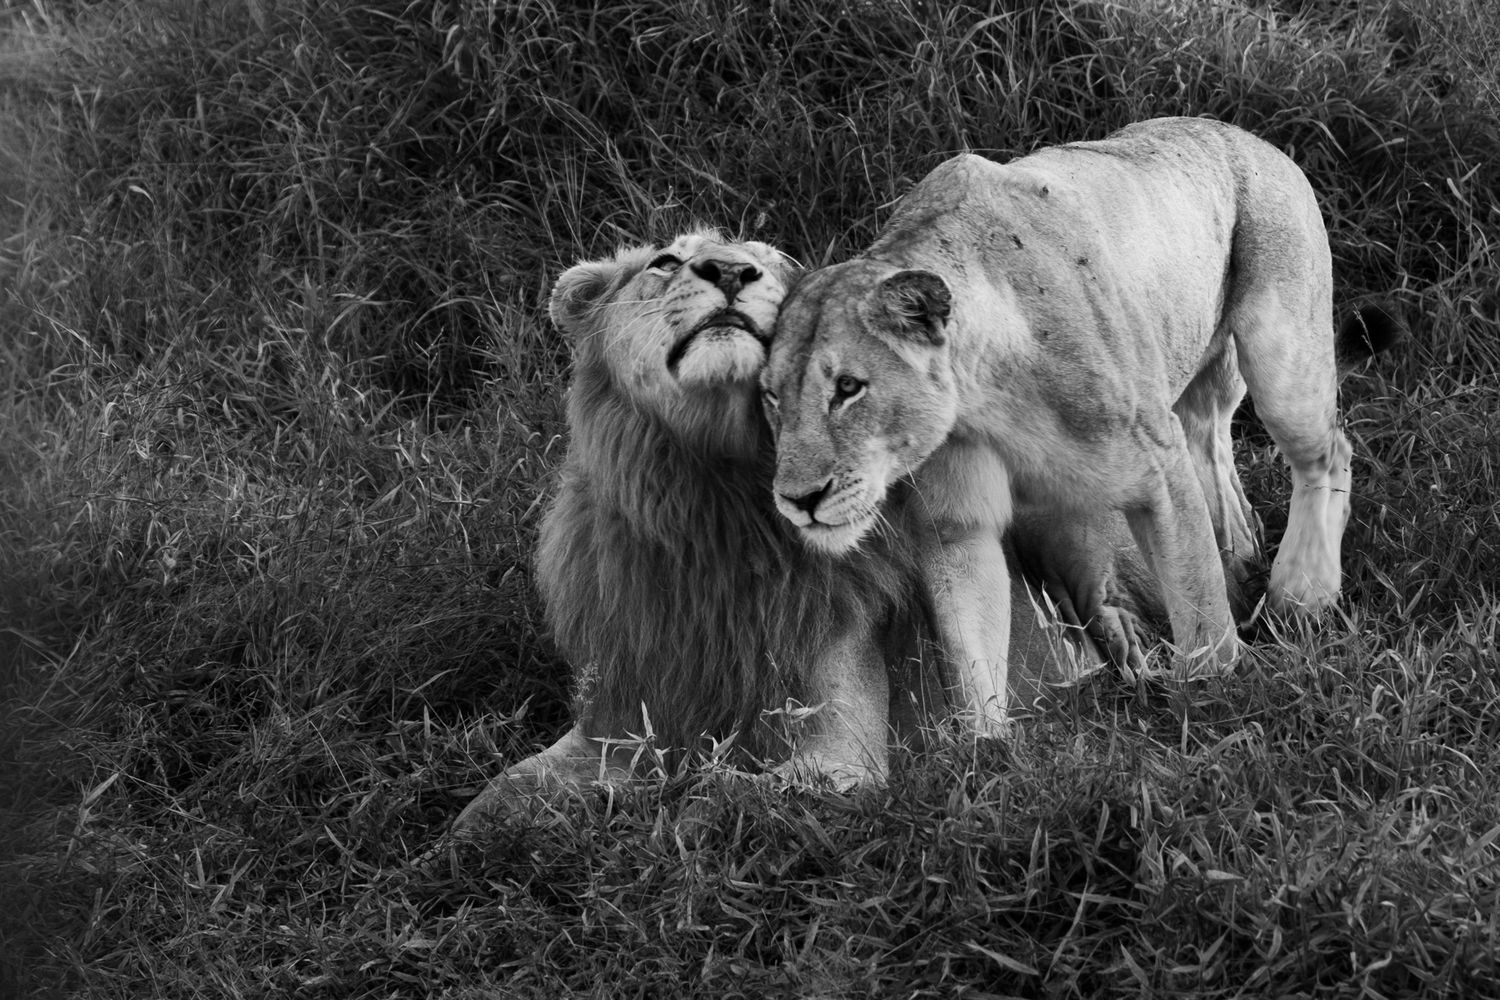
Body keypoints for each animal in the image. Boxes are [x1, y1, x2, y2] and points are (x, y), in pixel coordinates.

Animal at [448, 231, 1161, 836]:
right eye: (664, 261)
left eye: (777, 267)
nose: (731, 271)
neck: (711, 497)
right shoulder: (616, 714)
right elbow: (494, 798)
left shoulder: (845, 752)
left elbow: (722, 794)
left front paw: (668, 808)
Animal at [762, 117, 1402, 731]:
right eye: (771, 398)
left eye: (848, 387)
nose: (796, 500)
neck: (983, 390)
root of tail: (1248, 136)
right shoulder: (956, 520)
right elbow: (970, 649)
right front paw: (985, 752)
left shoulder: (1157, 468)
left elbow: (1198, 608)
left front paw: (1215, 698)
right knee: (1212, 441)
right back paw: (1242, 556)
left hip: (1282, 350)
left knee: (1327, 453)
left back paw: (1301, 593)